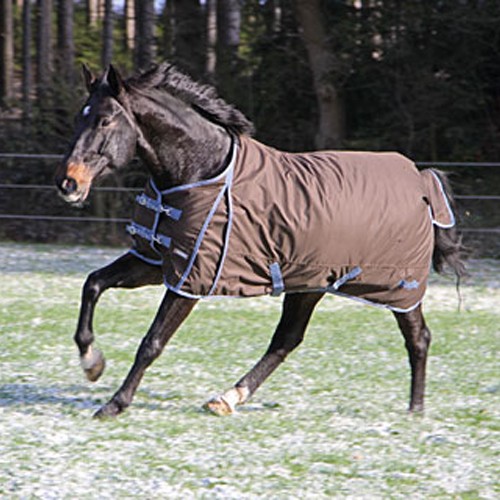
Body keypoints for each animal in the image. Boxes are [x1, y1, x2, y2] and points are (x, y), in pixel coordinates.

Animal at [54, 64, 464, 420]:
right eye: (78, 118)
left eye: (105, 119)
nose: (68, 183)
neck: (200, 172)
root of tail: (420, 180)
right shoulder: (157, 262)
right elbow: (93, 284)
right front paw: (92, 362)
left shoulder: (189, 280)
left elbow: (152, 343)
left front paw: (114, 404)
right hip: (310, 283)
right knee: (286, 340)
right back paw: (228, 398)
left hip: (398, 289)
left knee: (419, 338)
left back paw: (415, 410)